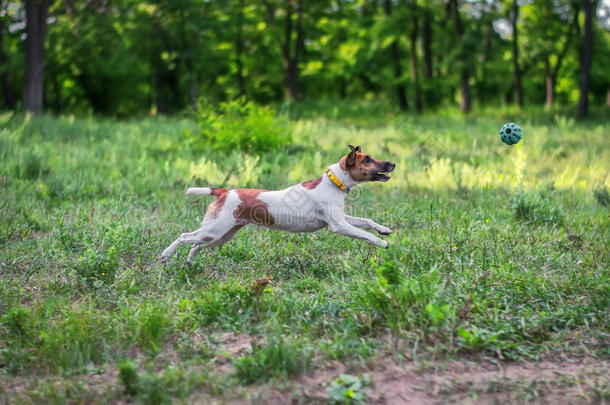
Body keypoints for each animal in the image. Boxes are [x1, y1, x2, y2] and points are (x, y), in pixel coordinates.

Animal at [159, 144, 394, 264]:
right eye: (367, 159)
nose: (392, 163)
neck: (333, 182)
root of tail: (224, 191)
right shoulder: (339, 226)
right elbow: (365, 234)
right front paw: (382, 243)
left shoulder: (342, 219)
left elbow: (367, 222)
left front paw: (384, 230)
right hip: (215, 231)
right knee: (184, 237)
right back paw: (165, 255)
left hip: (221, 236)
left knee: (196, 245)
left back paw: (190, 263)